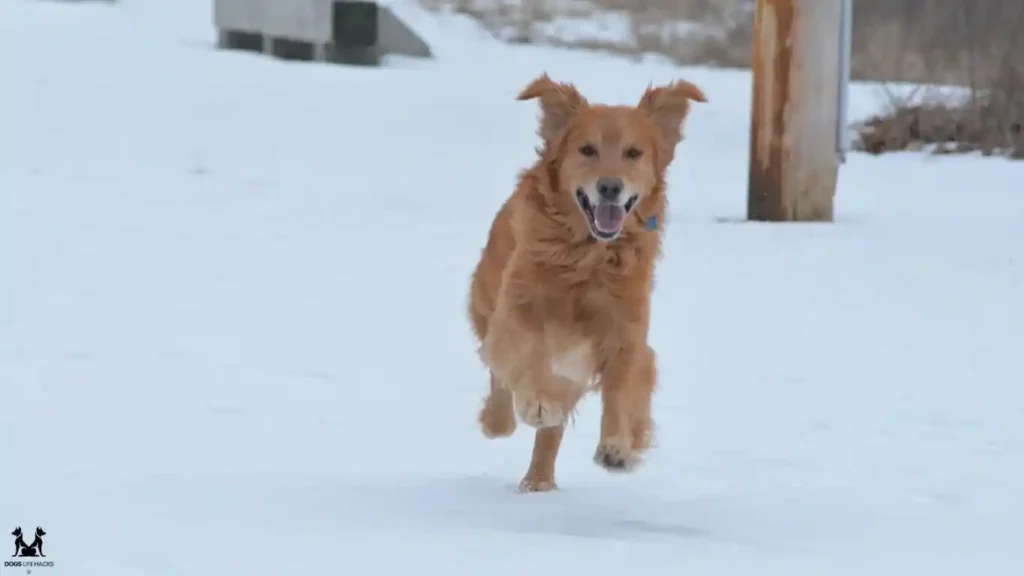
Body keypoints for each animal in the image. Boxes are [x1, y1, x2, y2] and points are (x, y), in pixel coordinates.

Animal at [468, 73, 704, 491]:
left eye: (633, 153)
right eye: (587, 149)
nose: (610, 187)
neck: (588, 258)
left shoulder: (625, 331)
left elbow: (622, 388)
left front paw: (618, 446)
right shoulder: (517, 311)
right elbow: (524, 359)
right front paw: (536, 402)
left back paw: (540, 479)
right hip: (486, 302)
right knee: (499, 377)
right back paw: (502, 421)